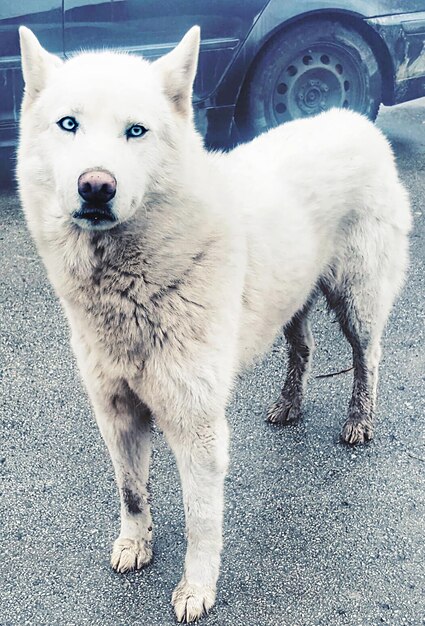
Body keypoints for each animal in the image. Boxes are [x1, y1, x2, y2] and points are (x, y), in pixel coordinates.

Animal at [18, 25, 410, 620]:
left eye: (136, 131)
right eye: (69, 124)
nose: (96, 186)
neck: (135, 287)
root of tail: (353, 119)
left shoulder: (197, 426)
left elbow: (201, 522)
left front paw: (197, 589)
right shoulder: (116, 411)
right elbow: (132, 492)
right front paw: (136, 543)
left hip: (356, 303)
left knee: (368, 358)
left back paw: (360, 419)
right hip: (289, 301)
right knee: (304, 347)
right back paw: (289, 403)